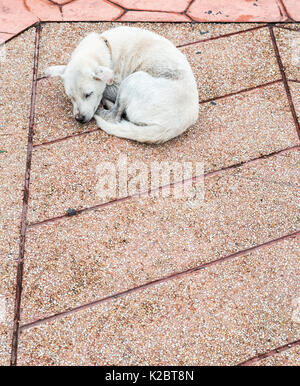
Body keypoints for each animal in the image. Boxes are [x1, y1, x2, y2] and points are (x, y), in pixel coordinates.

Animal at [45, 26, 199, 143]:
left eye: (88, 94)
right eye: (71, 97)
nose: (79, 119)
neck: (106, 48)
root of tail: (172, 126)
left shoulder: (116, 84)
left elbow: (106, 90)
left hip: (133, 79)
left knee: (114, 116)